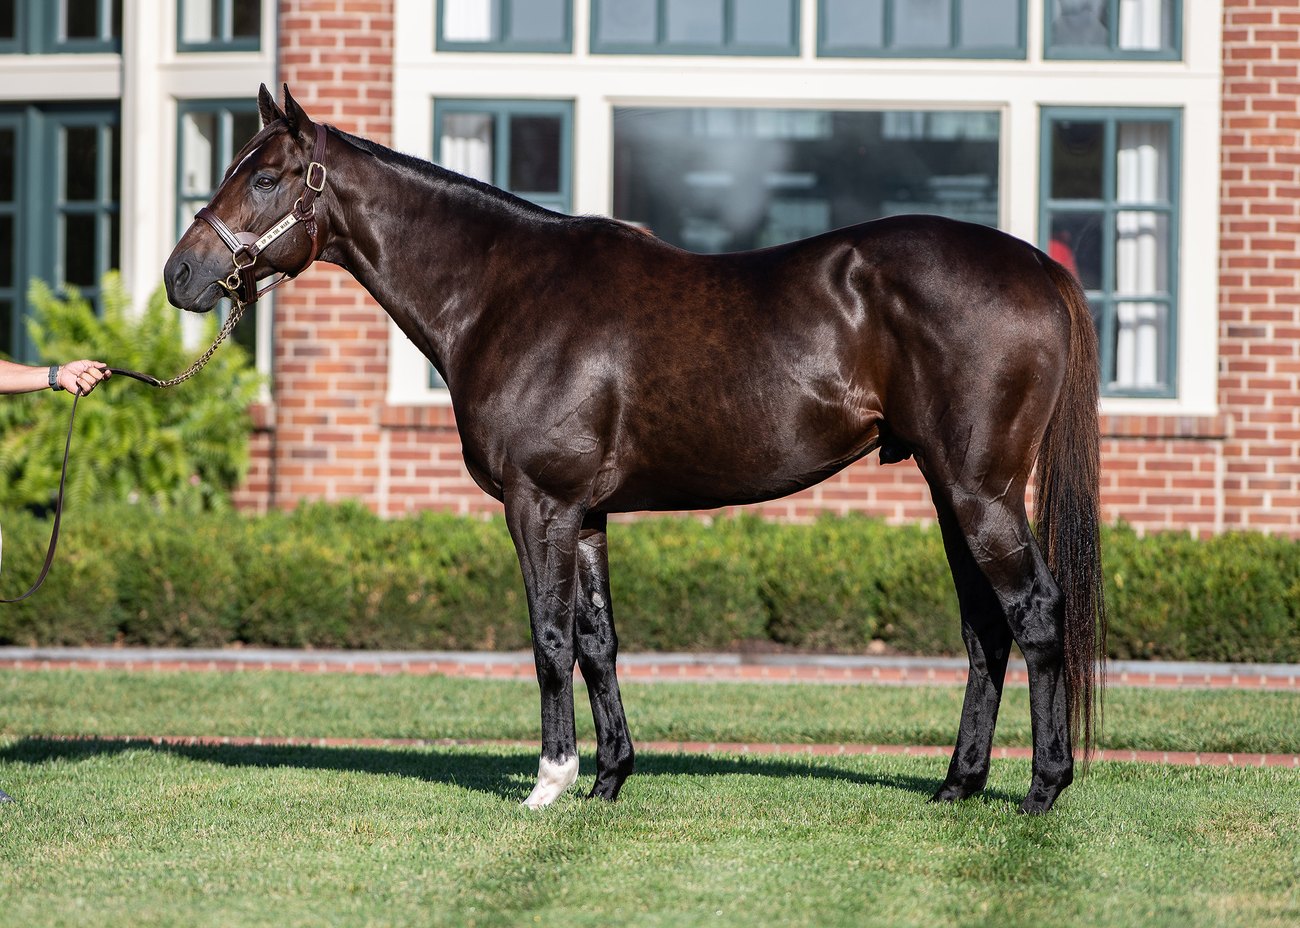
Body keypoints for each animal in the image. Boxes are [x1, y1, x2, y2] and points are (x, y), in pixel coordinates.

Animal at [164, 85, 1106, 815]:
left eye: (268, 176)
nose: (180, 276)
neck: (502, 293)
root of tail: (1038, 268)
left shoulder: (538, 503)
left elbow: (548, 639)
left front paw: (549, 783)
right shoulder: (585, 515)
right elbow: (597, 642)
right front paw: (609, 778)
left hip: (981, 491)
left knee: (1035, 614)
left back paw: (1042, 789)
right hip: (952, 493)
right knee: (986, 630)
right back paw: (958, 786)